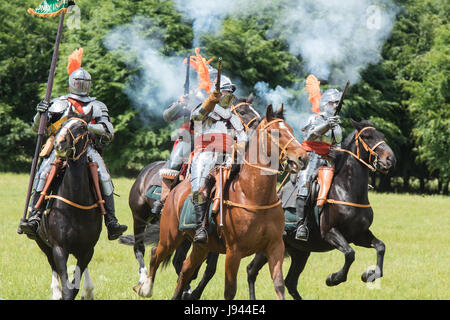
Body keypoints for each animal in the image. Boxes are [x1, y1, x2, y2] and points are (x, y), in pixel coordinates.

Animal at [32, 108, 103, 300]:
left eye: (82, 127)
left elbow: (74, 285)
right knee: (53, 268)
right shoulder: (59, 249)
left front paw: (85, 290)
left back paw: (88, 290)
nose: (59, 143)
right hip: (43, 244)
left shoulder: (87, 250)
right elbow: (66, 287)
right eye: (62, 124)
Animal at [123, 99, 264, 298]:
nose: (259, 125)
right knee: (141, 248)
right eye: (243, 111)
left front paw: (192, 291)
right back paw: (144, 280)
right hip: (140, 218)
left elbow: (208, 269)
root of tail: (143, 173)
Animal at [134, 105, 310, 300]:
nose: (303, 157)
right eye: (275, 133)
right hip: (169, 237)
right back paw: (145, 287)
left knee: (185, 270)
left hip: (200, 246)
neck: (253, 196)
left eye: (291, 130)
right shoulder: (233, 252)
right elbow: (229, 290)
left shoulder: (275, 246)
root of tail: (175, 191)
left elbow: (279, 285)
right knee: (155, 254)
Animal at [246, 119, 398, 298]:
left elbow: (381, 247)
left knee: (290, 282)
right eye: (367, 136)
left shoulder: (359, 235)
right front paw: (333, 278)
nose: (390, 159)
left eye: (381, 135)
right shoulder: (331, 232)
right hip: (269, 247)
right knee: (251, 271)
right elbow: (350, 254)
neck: (346, 189)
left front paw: (369, 274)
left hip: (300, 252)